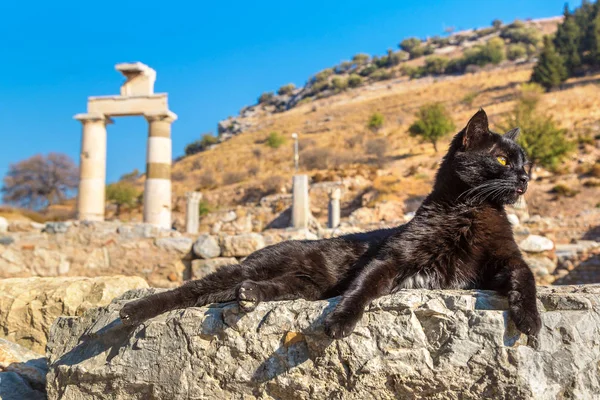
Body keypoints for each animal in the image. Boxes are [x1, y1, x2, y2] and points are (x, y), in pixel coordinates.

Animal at [119, 109, 540, 338]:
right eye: (502, 160)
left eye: (525, 162)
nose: (525, 178)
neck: (471, 211)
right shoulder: (392, 259)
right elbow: (362, 288)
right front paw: (340, 321)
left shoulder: (505, 260)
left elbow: (527, 277)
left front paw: (530, 319)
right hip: (250, 268)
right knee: (191, 289)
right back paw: (132, 311)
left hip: (305, 285)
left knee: (258, 288)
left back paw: (249, 295)